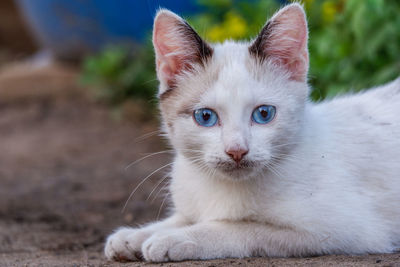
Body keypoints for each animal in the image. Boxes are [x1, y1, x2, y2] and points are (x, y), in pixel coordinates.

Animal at [104, 3, 400, 262]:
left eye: (264, 114)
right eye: (206, 117)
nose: (237, 150)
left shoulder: (346, 230)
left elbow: (239, 227)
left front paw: (173, 239)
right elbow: (180, 218)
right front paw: (135, 236)